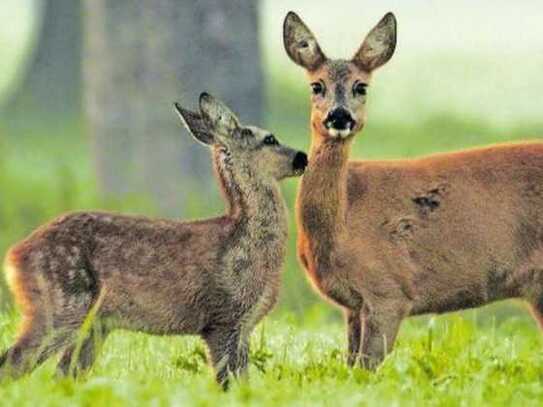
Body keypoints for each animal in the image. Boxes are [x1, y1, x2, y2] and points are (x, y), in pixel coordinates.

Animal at [0, 93, 308, 388]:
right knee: (14, 362)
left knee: (63, 374)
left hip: (94, 323)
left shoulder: (243, 327)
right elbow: (228, 383)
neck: (244, 240)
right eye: (269, 138)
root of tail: (14, 256)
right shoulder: (222, 318)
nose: (303, 157)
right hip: (60, 304)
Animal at [282, 11, 543, 370]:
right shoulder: (353, 305)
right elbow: (351, 365)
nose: (339, 116)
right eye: (316, 85)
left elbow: (368, 367)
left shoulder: (389, 290)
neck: (343, 222)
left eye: (361, 86)